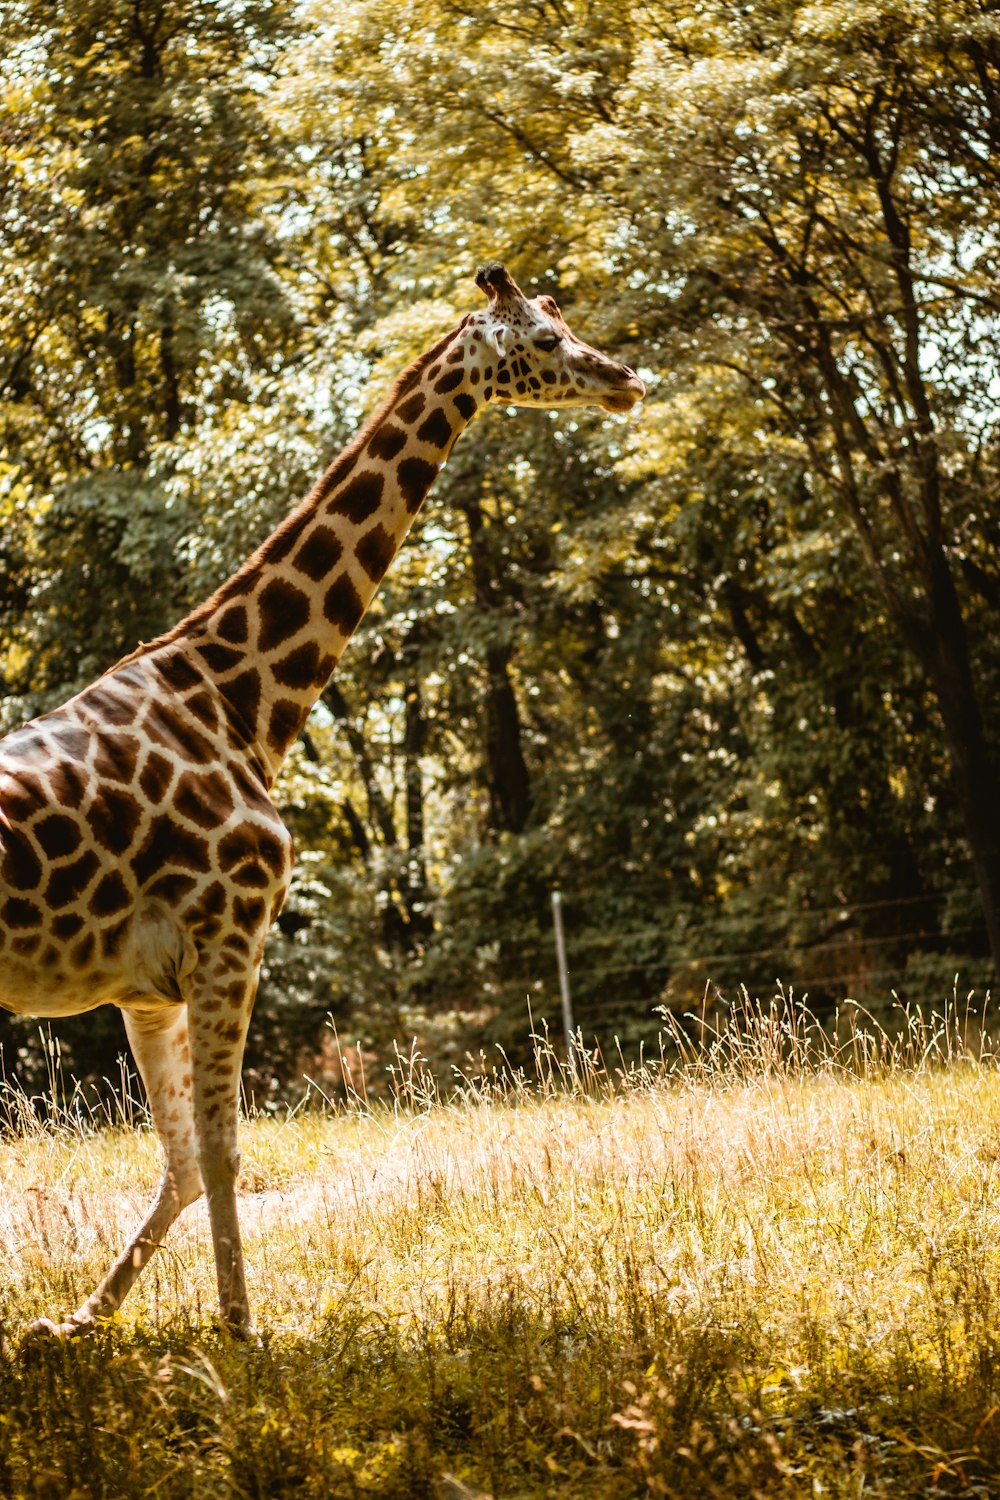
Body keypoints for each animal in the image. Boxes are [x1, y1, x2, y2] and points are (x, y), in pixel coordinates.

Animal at [0, 261, 644, 1338]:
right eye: (547, 341)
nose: (625, 378)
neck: (236, 698)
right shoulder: (230, 936)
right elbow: (222, 1152)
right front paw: (241, 1334)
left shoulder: (145, 986)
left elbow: (182, 1160)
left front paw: (79, 1322)